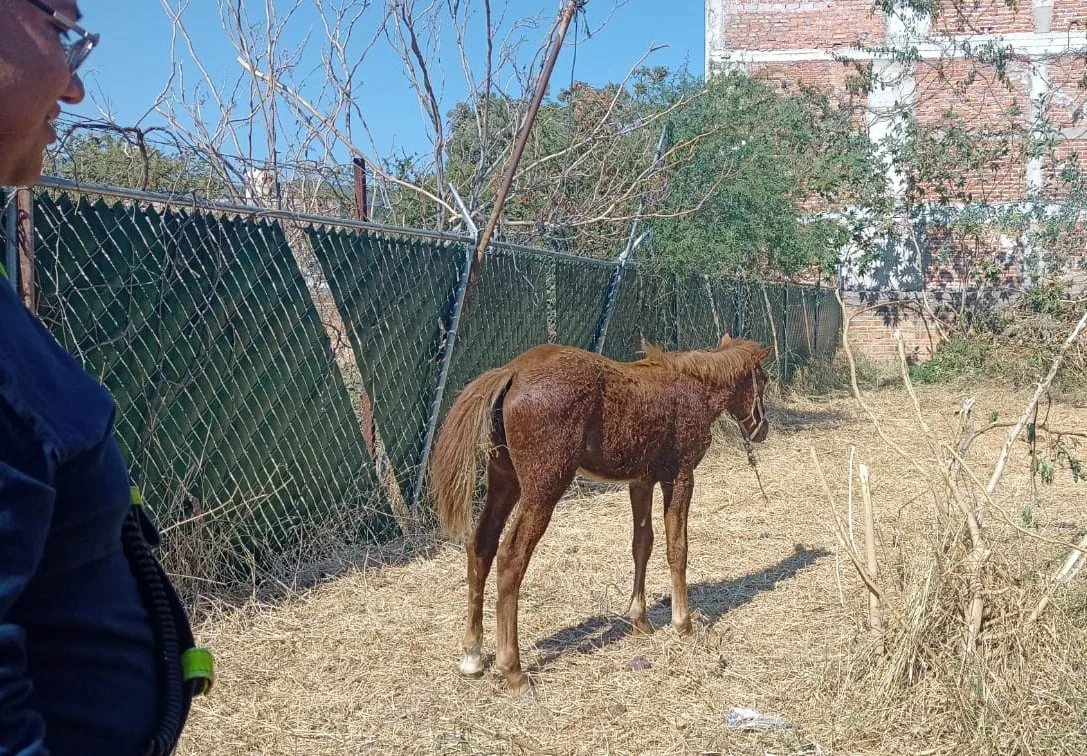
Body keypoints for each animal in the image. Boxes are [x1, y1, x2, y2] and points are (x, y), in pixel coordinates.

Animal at [430, 333, 773, 696]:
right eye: (763, 380)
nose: (762, 428)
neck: (693, 386)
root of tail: (512, 372)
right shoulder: (680, 477)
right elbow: (677, 548)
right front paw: (683, 624)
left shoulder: (641, 482)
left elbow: (642, 544)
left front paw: (639, 621)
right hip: (542, 491)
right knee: (511, 557)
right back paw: (513, 670)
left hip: (504, 481)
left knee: (481, 546)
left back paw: (472, 655)